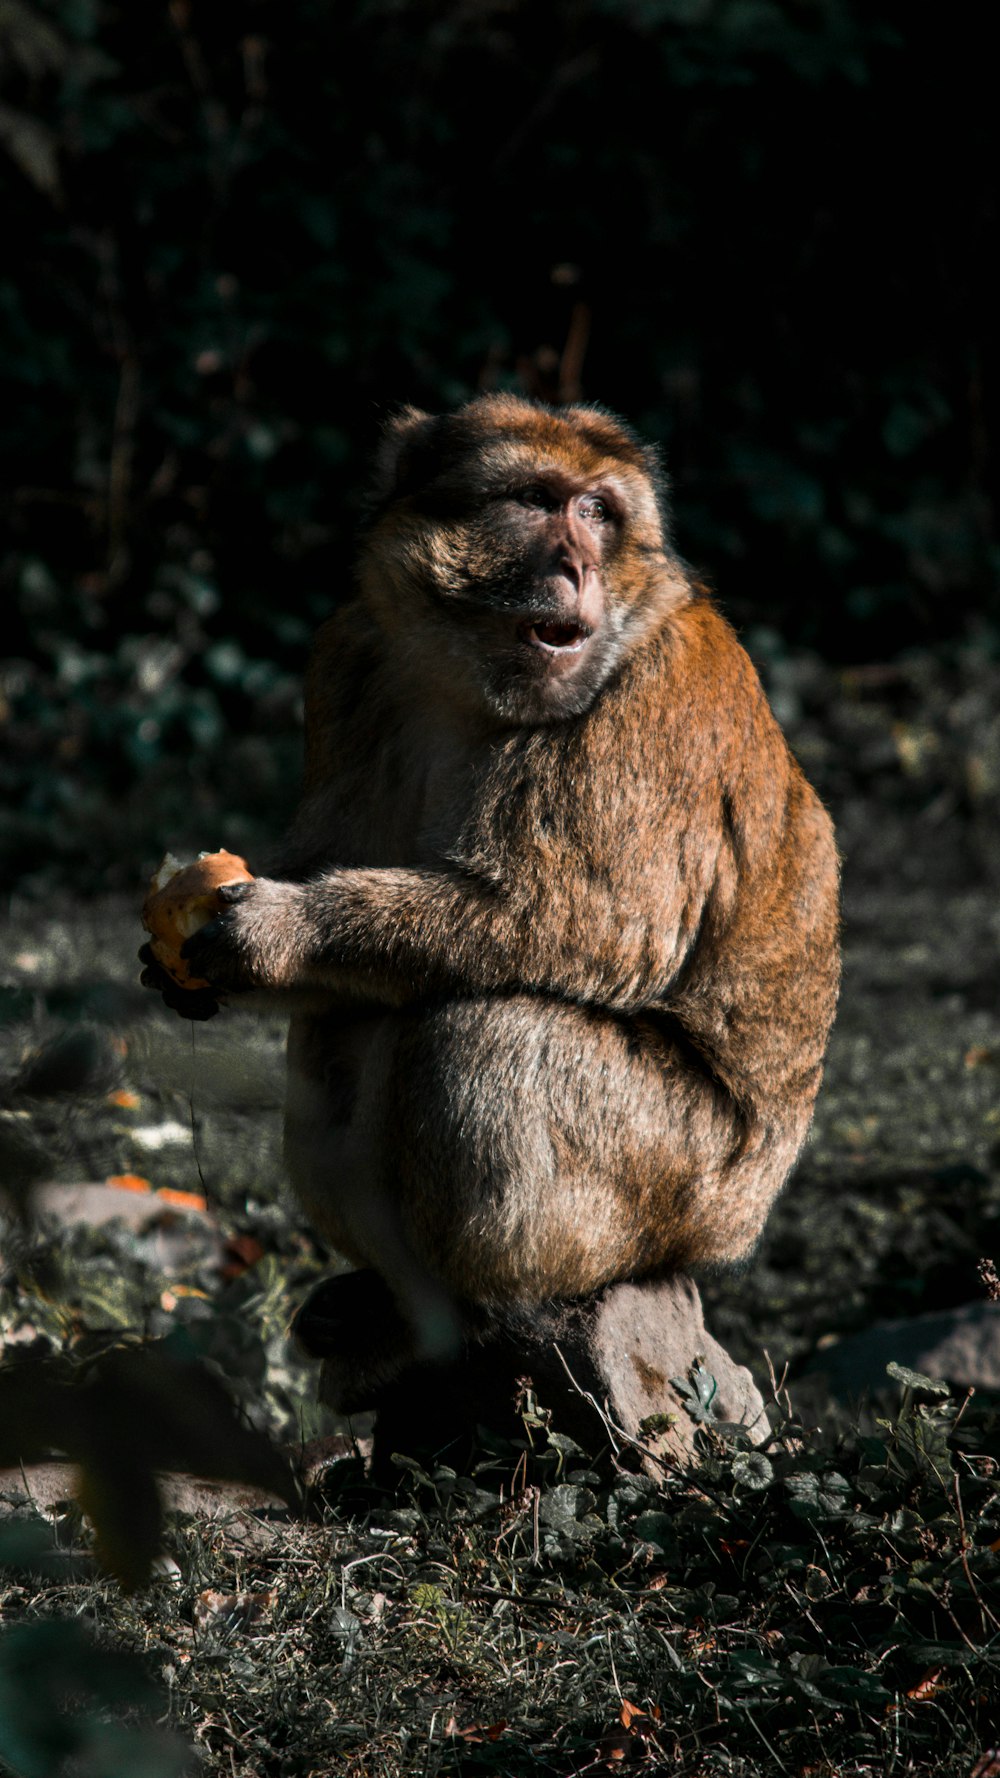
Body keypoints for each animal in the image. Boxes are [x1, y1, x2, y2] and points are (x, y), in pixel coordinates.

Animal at [145, 396, 832, 1408]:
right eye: (535, 501)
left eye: (597, 512)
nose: (577, 563)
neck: (463, 673)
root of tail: (742, 1224)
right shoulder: (350, 655)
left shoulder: (650, 697)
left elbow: (583, 927)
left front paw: (277, 931)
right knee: (345, 1021)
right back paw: (388, 1303)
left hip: (683, 1187)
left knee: (482, 1030)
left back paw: (479, 1310)